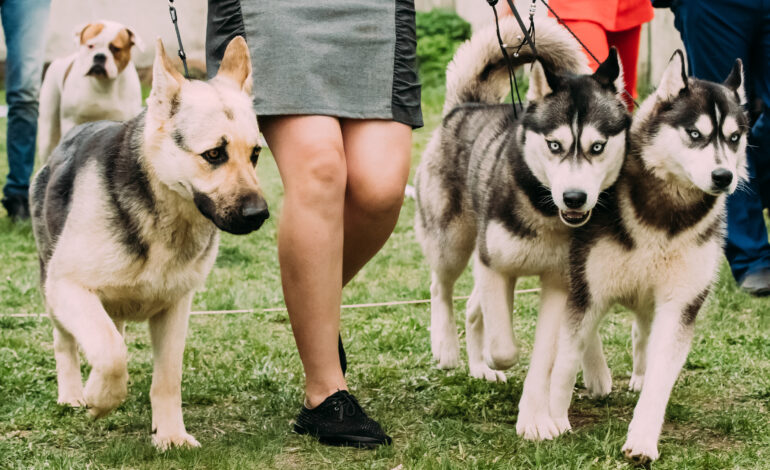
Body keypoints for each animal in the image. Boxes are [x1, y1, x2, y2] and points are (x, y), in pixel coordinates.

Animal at [29, 36, 267, 450]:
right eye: (214, 154)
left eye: (255, 154)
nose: (260, 214)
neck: (166, 213)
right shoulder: (68, 287)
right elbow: (111, 352)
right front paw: (99, 398)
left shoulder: (176, 308)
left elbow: (167, 377)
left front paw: (170, 434)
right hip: (54, 292)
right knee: (69, 343)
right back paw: (74, 393)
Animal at [37, 20, 143, 161]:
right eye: (90, 46)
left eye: (115, 49)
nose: (99, 56)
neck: (103, 83)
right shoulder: (71, 122)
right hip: (47, 130)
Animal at [414, 13, 630, 409]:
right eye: (555, 145)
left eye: (598, 147)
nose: (574, 198)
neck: (546, 214)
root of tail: (468, 106)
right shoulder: (493, 265)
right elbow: (504, 347)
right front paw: (493, 356)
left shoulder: (566, 276)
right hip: (452, 241)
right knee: (441, 286)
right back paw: (447, 346)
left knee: (473, 306)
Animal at [533, 51, 748, 464]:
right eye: (694, 134)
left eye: (733, 138)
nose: (724, 176)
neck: (667, 215)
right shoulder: (587, 291)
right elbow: (564, 360)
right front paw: (552, 417)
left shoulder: (681, 304)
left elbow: (661, 377)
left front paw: (644, 439)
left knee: (643, 332)